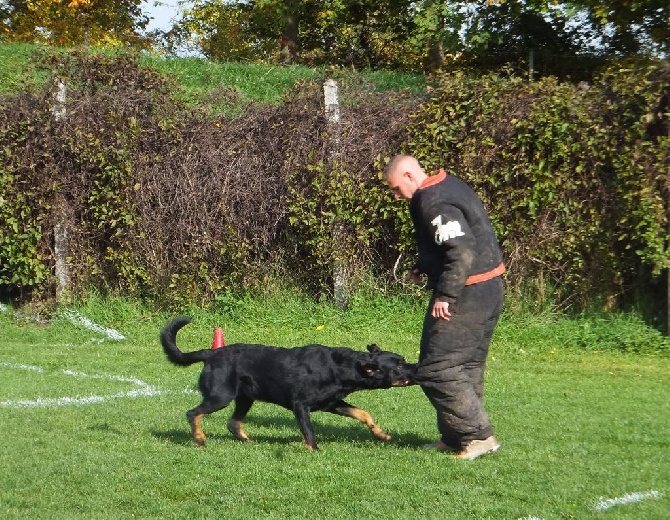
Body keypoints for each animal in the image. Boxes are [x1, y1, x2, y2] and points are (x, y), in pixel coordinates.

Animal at [162, 316, 414, 450]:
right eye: (399, 365)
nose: (417, 368)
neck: (341, 367)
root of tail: (211, 353)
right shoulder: (300, 405)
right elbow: (309, 431)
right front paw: (314, 451)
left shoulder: (333, 403)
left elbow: (363, 413)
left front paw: (381, 435)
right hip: (220, 396)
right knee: (193, 413)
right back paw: (199, 439)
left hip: (245, 397)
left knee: (233, 423)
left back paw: (248, 441)